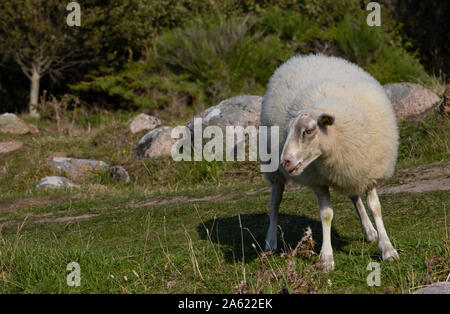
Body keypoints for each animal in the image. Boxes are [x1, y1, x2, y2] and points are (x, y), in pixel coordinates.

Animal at [262, 54, 400, 272]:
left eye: (309, 130)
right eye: (287, 130)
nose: (285, 161)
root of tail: (301, 57)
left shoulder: (368, 171)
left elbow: (375, 207)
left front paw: (387, 248)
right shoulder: (318, 181)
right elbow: (326, 215)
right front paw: (326, 258)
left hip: (350, 171)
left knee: (354, 196)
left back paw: (369, 231)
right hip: (274, 172)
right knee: (275, 202)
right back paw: (270, 241)